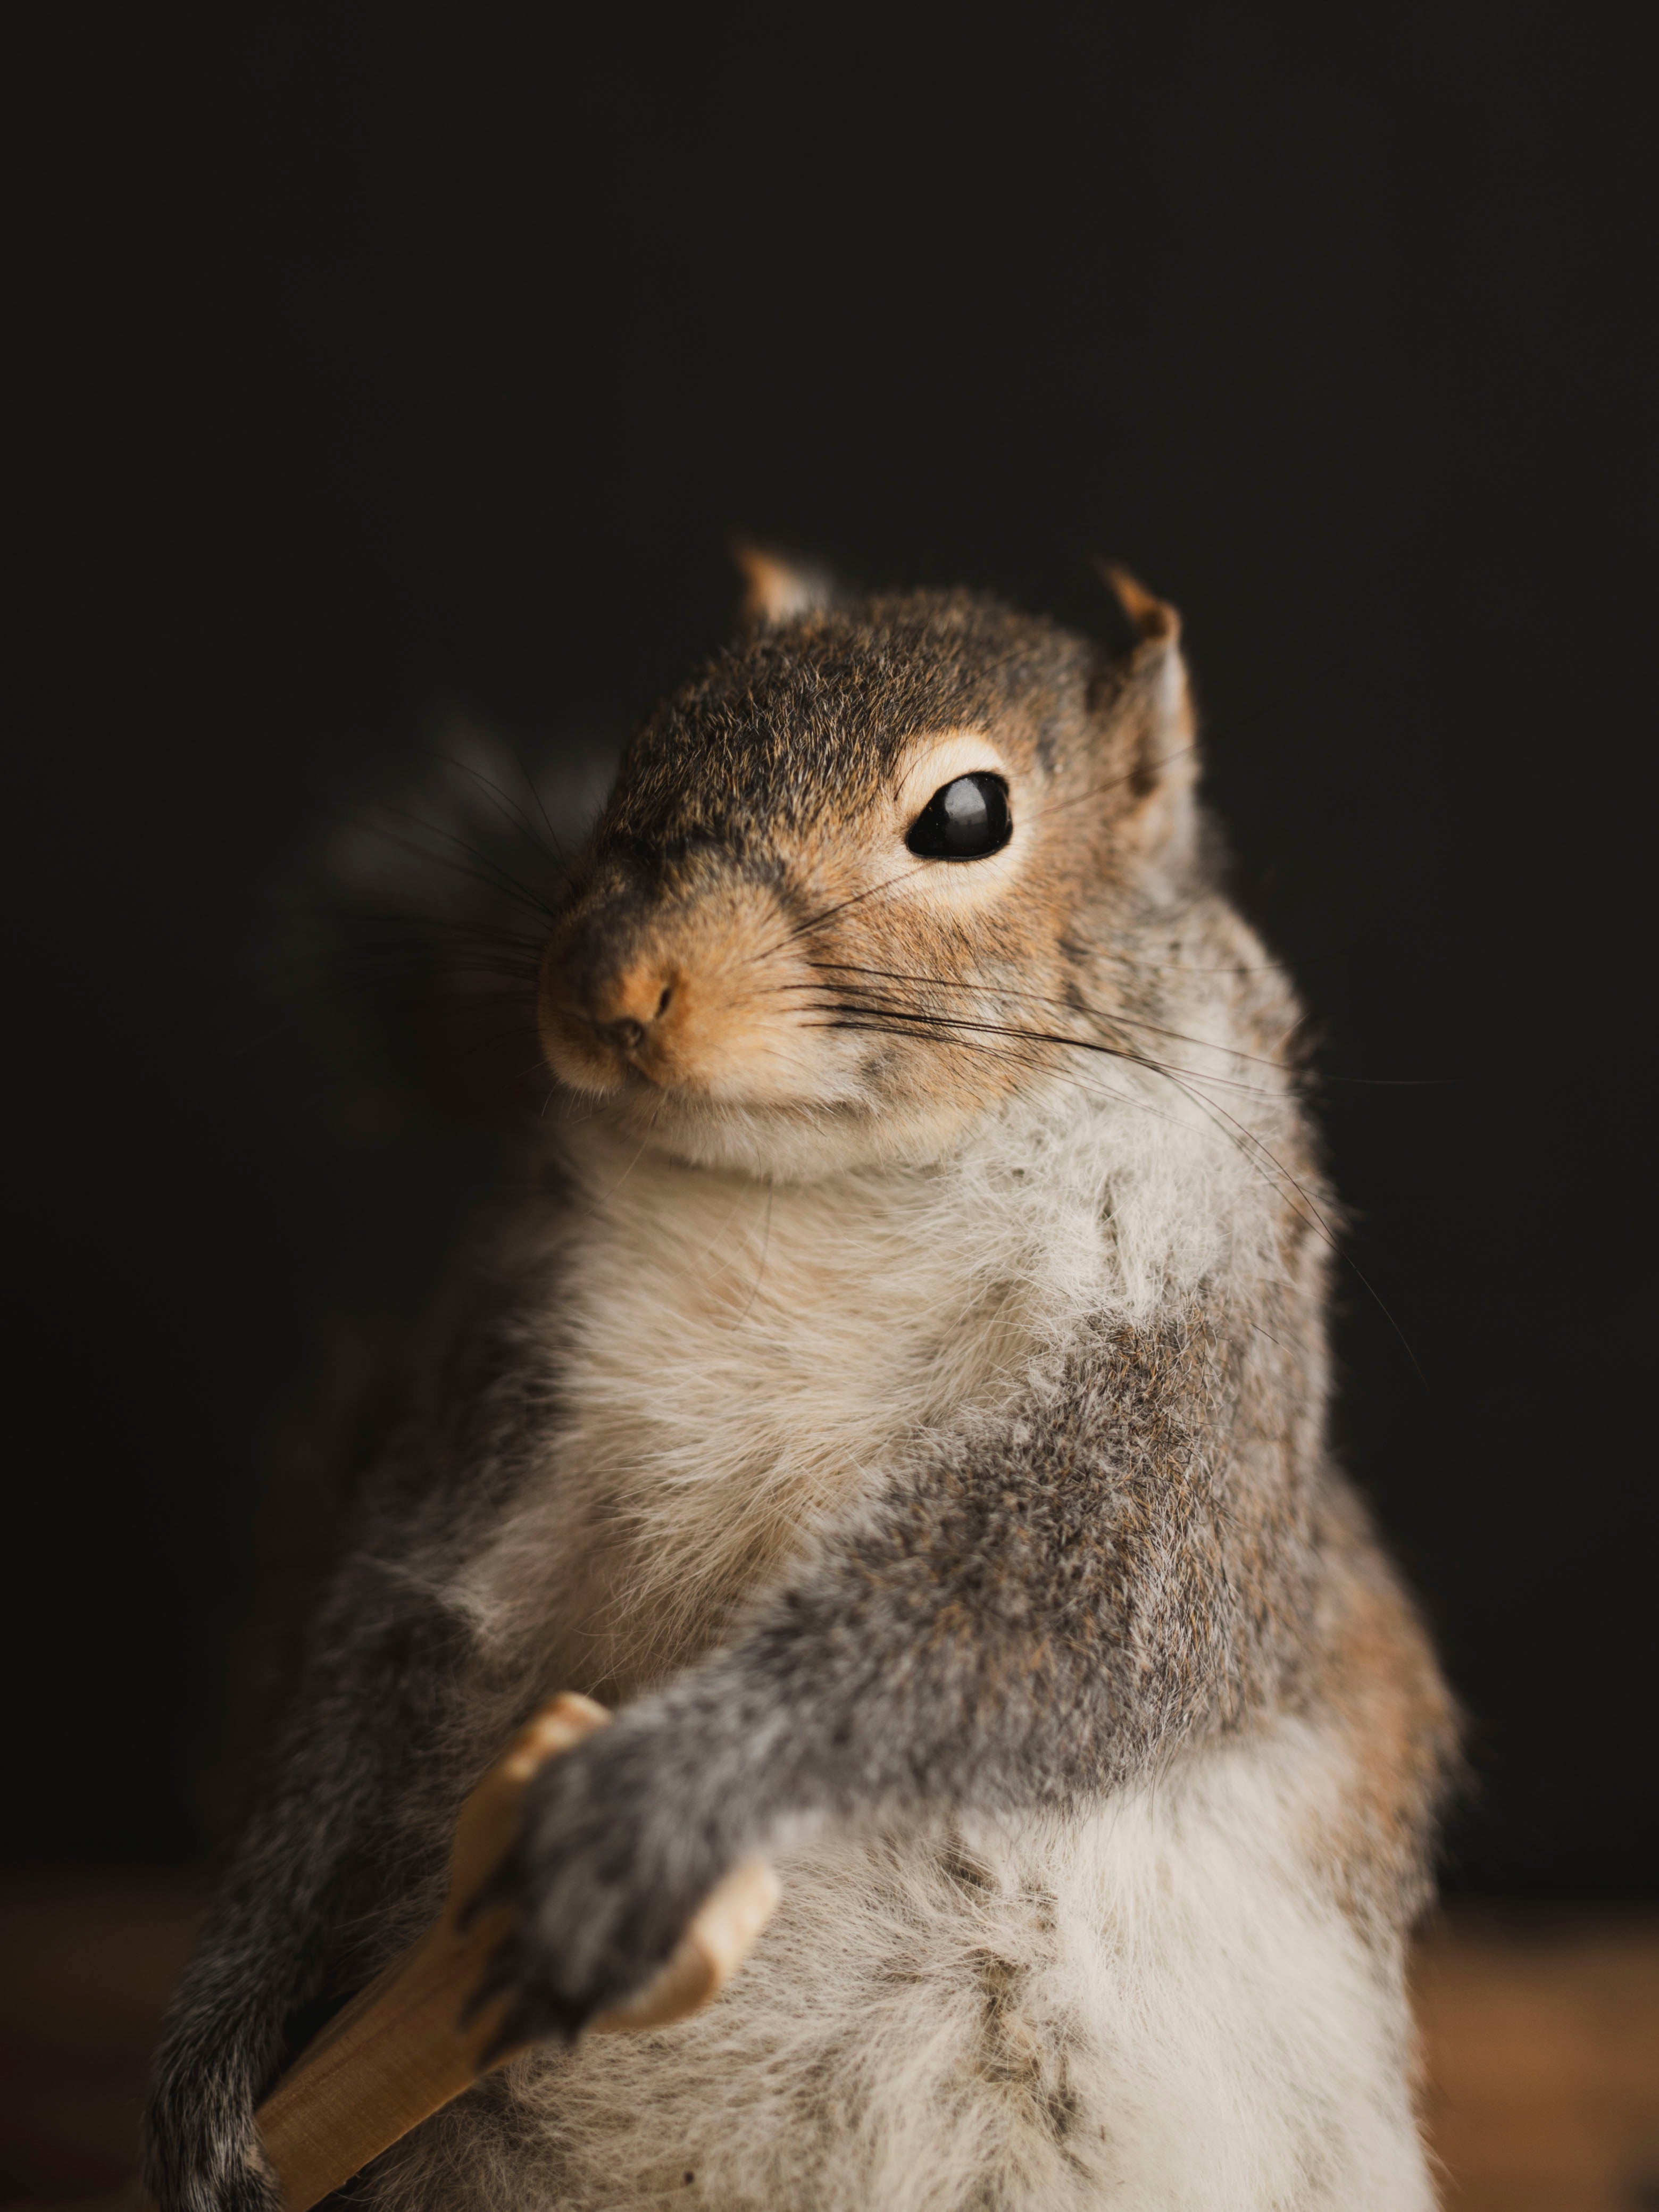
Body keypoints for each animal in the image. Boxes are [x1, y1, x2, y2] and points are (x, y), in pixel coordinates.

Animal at [143, 553, 1457, 2211]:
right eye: (652, 729)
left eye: (965, 814)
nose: (612, 985)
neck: (813, 1190)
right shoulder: (504, 1378)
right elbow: (375, 1650)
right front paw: (225, 2025)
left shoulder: (1193, 1393)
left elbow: (1059, 1617)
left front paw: (659, 1801)